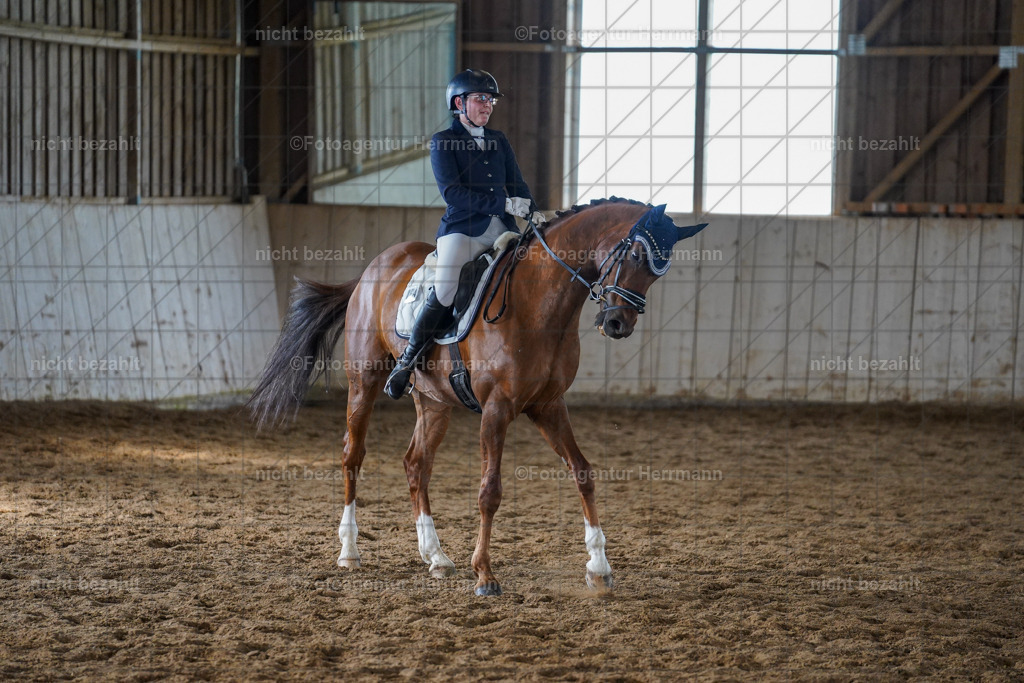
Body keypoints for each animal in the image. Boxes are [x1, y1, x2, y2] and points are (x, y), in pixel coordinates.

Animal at [247, 197, 707, 596]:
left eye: (658, 271)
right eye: (636, 256)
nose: (616, 324)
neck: (539, 301)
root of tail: (371, 269)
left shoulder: (548, 405)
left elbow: (583, 472)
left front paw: (599, 568)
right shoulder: (497, 409)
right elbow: (490, 491)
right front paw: (485, 575)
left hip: (434, 401)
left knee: (416, 464)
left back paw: (435, 556)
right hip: (365, 382)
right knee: (352, 456)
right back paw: (349, 551)